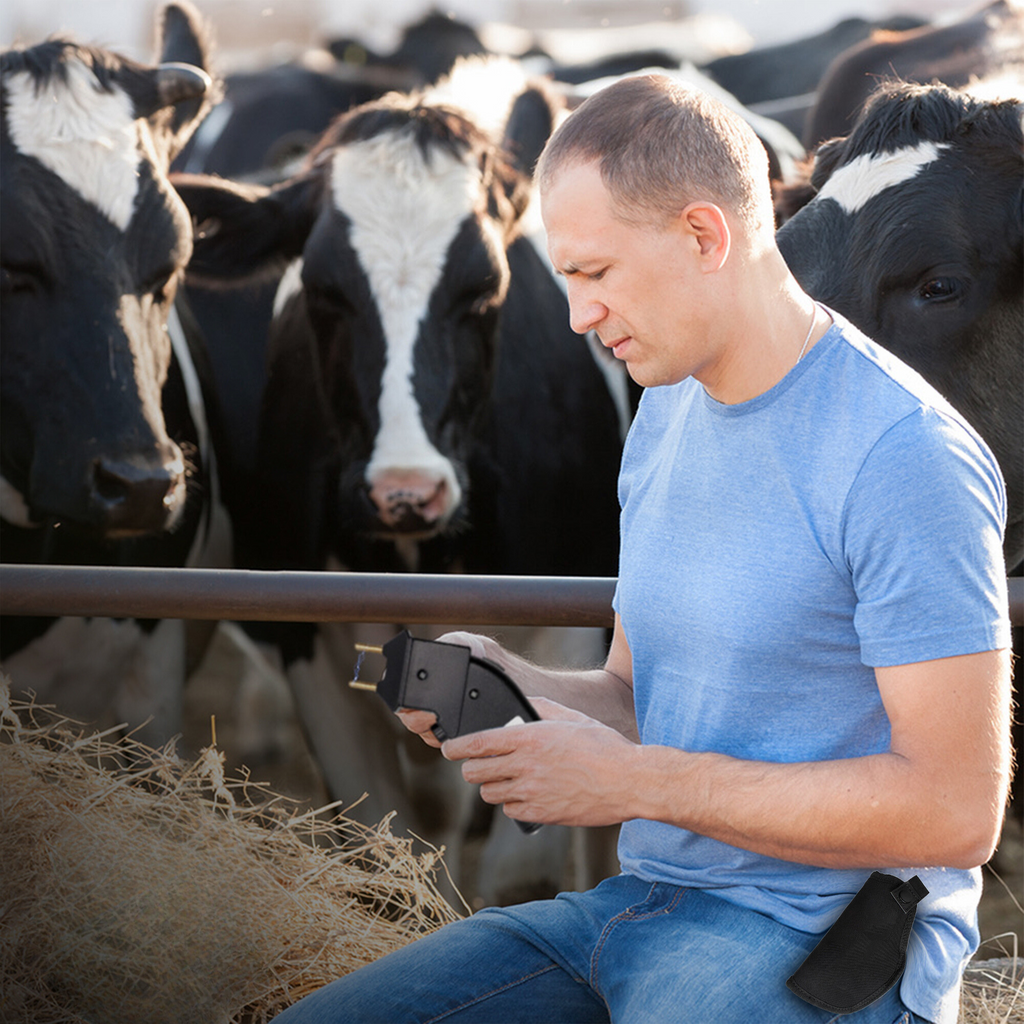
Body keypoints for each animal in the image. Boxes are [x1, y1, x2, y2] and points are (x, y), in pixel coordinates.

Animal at [169, 59, 622, 901]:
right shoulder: (308, 637)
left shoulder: (572, 623)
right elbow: (385, 855)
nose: (406, 490)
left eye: (484, 288)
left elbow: (529, 868)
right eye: (322, 290)